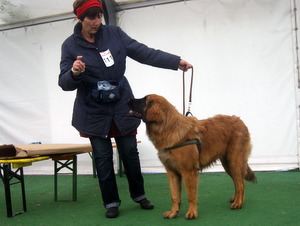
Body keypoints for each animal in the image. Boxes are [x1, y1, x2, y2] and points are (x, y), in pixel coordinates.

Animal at [127, 94, 256, 219]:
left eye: (143, 101)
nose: (128, 100)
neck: (169, 128)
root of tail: (240, 121)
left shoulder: (188, 172)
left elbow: (190, 195)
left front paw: (192, 213)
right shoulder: (172, 173)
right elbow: (174, 195)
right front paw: (173, 212)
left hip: (234, 161)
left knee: (240, 183)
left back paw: (238, 203)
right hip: (227, 164)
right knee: (237, 181)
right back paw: (236, 199)